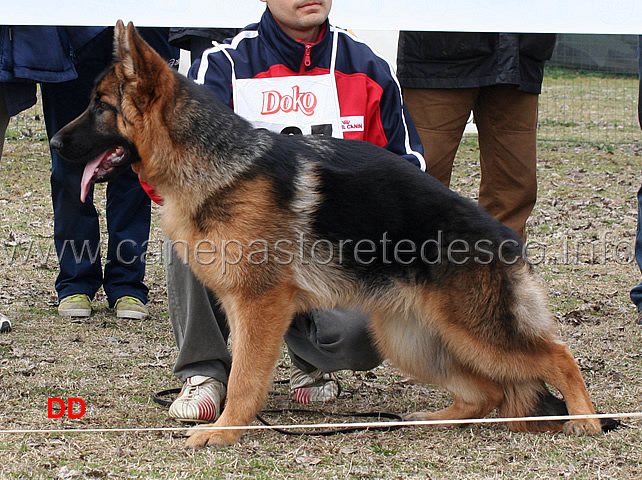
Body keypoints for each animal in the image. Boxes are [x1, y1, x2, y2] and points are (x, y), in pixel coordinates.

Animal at [52, 22, 612, 448]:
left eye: (101, 106)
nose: (55, 141)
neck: (215, 161)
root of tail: (505, 240)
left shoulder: (259, 305)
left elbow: (246, 377)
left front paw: (226, 432)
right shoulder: (243, 303)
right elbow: (238, 371)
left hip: (475, 331)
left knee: (558, 357)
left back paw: (585, 420)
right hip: (414, 339)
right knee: (488, 393)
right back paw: (433, 420)